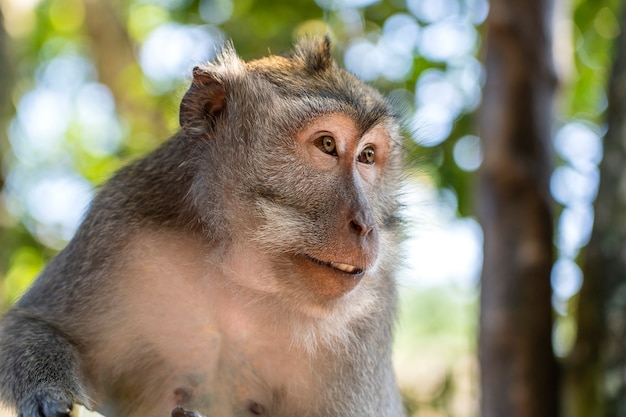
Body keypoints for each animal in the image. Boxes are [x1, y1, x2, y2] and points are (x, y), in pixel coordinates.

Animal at [0, 38, 404, 416]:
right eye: (327, 144)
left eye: (368, 155)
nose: (365, 224)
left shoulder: (369, 309)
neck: (238, 271)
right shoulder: (120, 225)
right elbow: (32, 324)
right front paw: (50, 396)